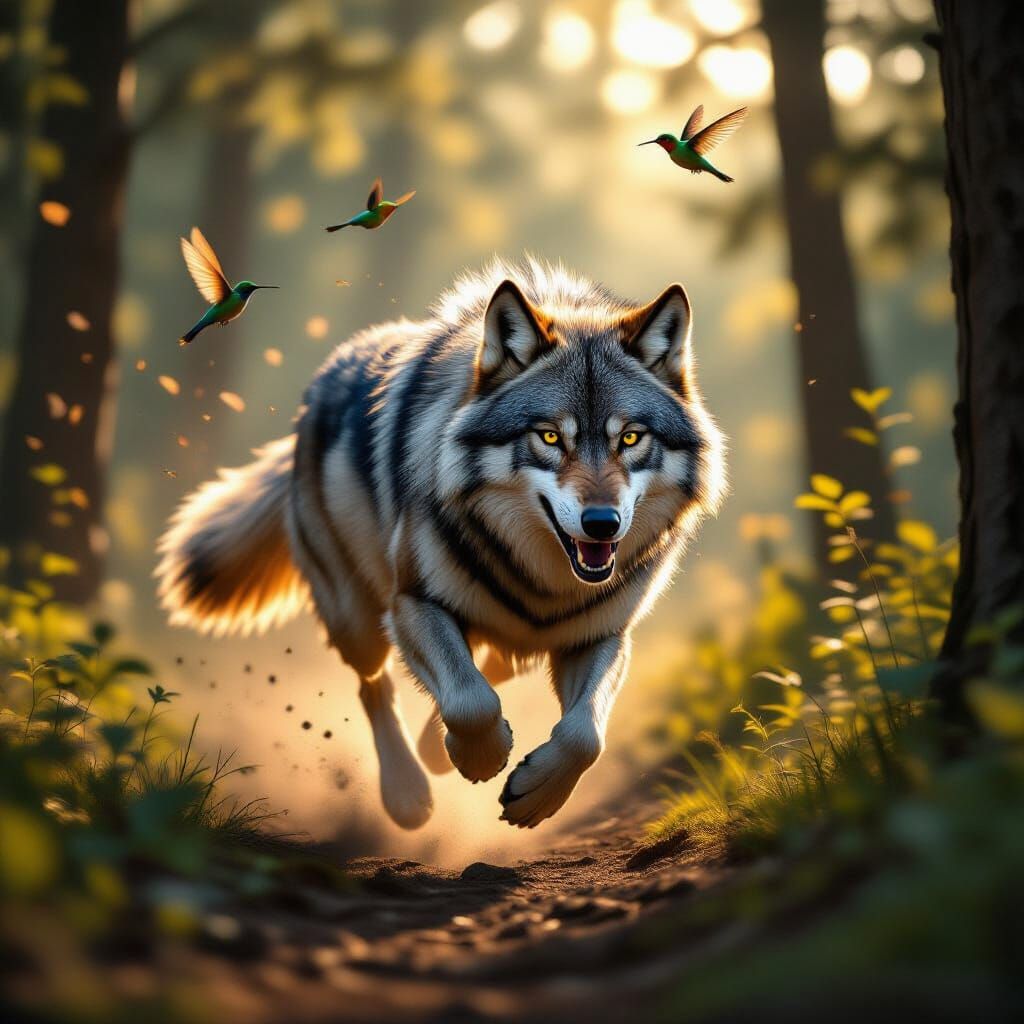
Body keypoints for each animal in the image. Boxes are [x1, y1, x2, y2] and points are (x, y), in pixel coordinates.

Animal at [157, 259, 726, 830]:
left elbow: (585, 735)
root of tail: (309, 401)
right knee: (377, 685)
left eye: (629, 438)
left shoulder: (601, 635)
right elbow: (470, 702)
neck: (541, 582)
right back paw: (407, 792)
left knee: (490, 666)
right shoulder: (413, 603)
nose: (603, 523)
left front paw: (536, 795)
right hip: (357, 619)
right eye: (548, 437)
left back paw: (434, 751)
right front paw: (479, 757)